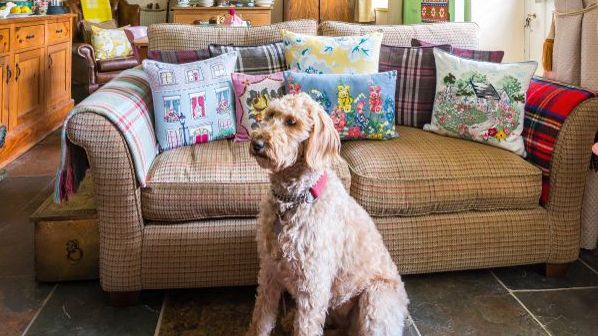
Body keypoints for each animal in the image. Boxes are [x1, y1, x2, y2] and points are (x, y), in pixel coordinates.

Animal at [246, 92, 410, 336]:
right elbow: (260, 320)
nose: (257, 143)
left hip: (375, 299)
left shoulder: (312, 283)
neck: (293, 200)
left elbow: (305, 329)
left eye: (292, 122)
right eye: (270, 115)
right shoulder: (269, 271)